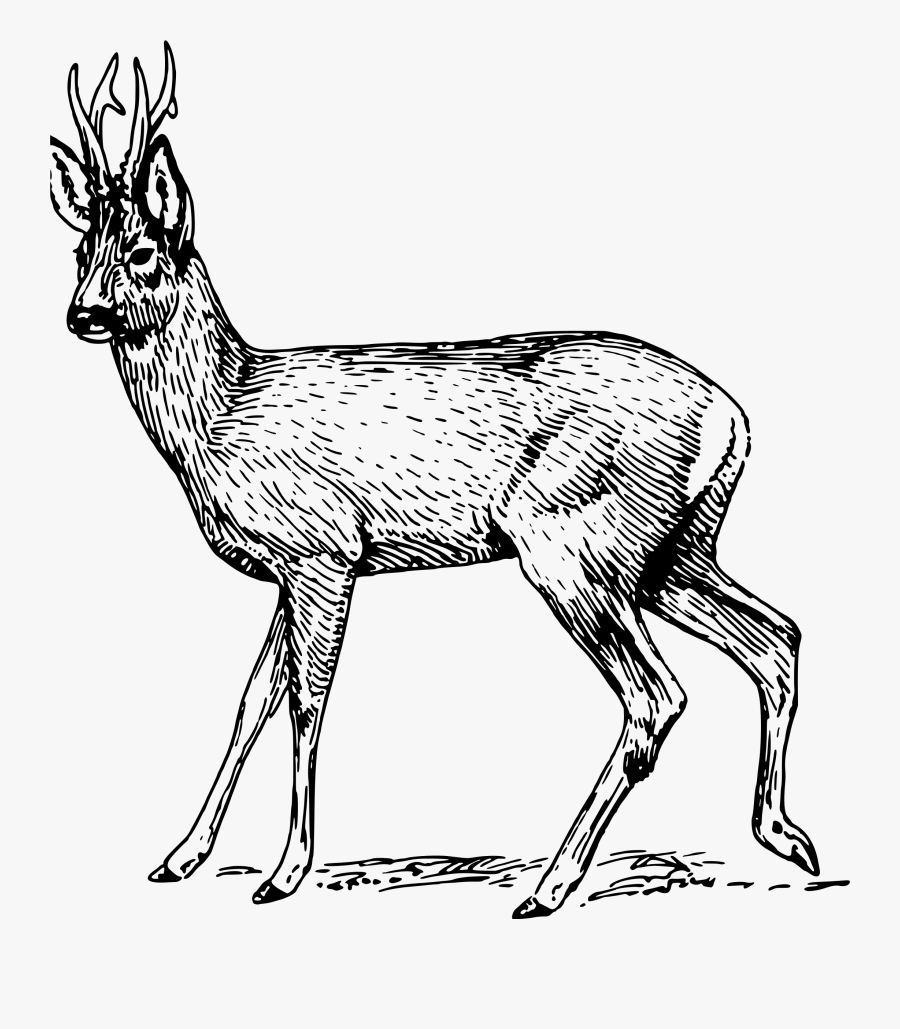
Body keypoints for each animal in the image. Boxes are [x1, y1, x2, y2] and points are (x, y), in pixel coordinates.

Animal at [49, 44, 819, 917]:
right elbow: (252, 698)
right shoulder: (286, 570)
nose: (82, 313)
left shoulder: (324, 551)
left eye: (144, 251)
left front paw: (285, 872)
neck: (225, 411)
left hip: (575, 542)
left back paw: (552, 883)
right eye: (79, 251)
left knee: (658, 694)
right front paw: (181, 855)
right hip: (672, 549)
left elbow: (308, 700)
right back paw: (785, 836)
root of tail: (734, 419)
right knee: (775, 636)